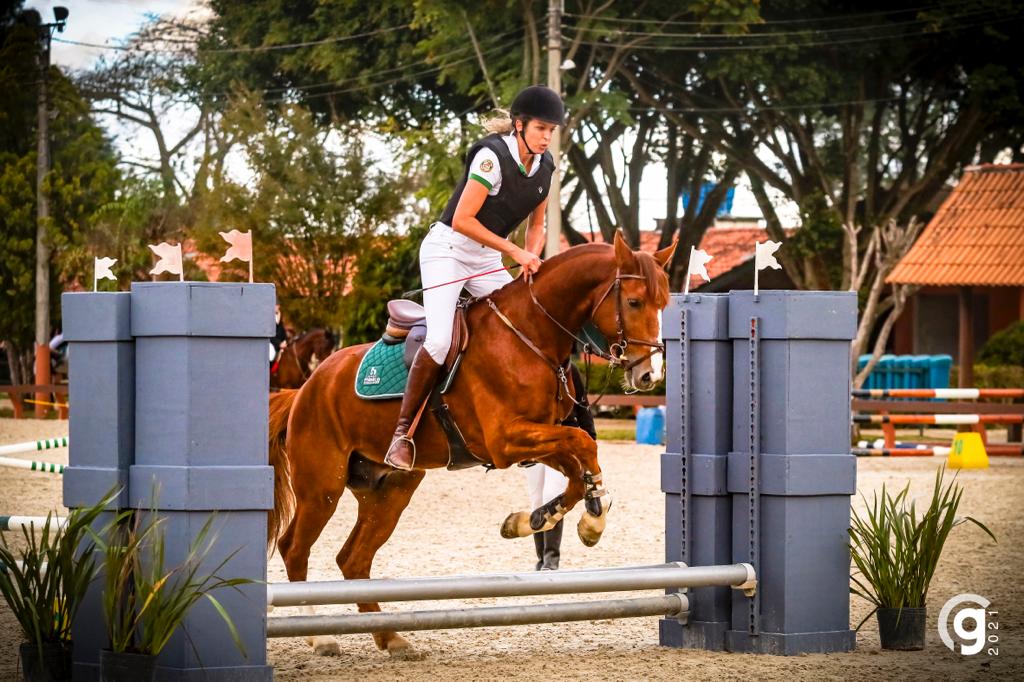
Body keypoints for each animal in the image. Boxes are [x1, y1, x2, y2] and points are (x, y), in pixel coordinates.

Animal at [268, 232, 675, 655]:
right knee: (294, 547)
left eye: (664, 304)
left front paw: (536, 520)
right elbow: (583, 443)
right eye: (634, 302)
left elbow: (577, 467)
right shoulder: (505, 440)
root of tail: (306, 388)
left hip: (389, 489)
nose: (649, 375)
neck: (531, 335)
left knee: (353, 558)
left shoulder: (537, 438)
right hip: (322, 488)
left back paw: (390, 636)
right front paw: (592, 517)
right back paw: (321, 634)